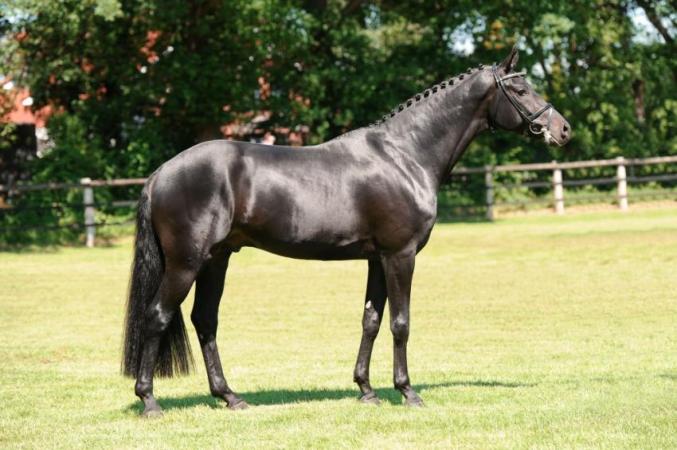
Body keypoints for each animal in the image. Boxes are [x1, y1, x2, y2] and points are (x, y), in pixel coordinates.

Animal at [122, 46, 571, 417]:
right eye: (522, 89)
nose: (563, 130)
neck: (405, 154)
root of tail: (160, 174)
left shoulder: (377, 258)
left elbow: (371, 319)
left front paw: (366, 390)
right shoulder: (400, 255)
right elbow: (400, 322)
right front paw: (407, 392)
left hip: (216, 260)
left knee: (205, 320)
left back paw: (230, 397)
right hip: (186, 262)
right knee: (157, 316)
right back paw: (149, 401)